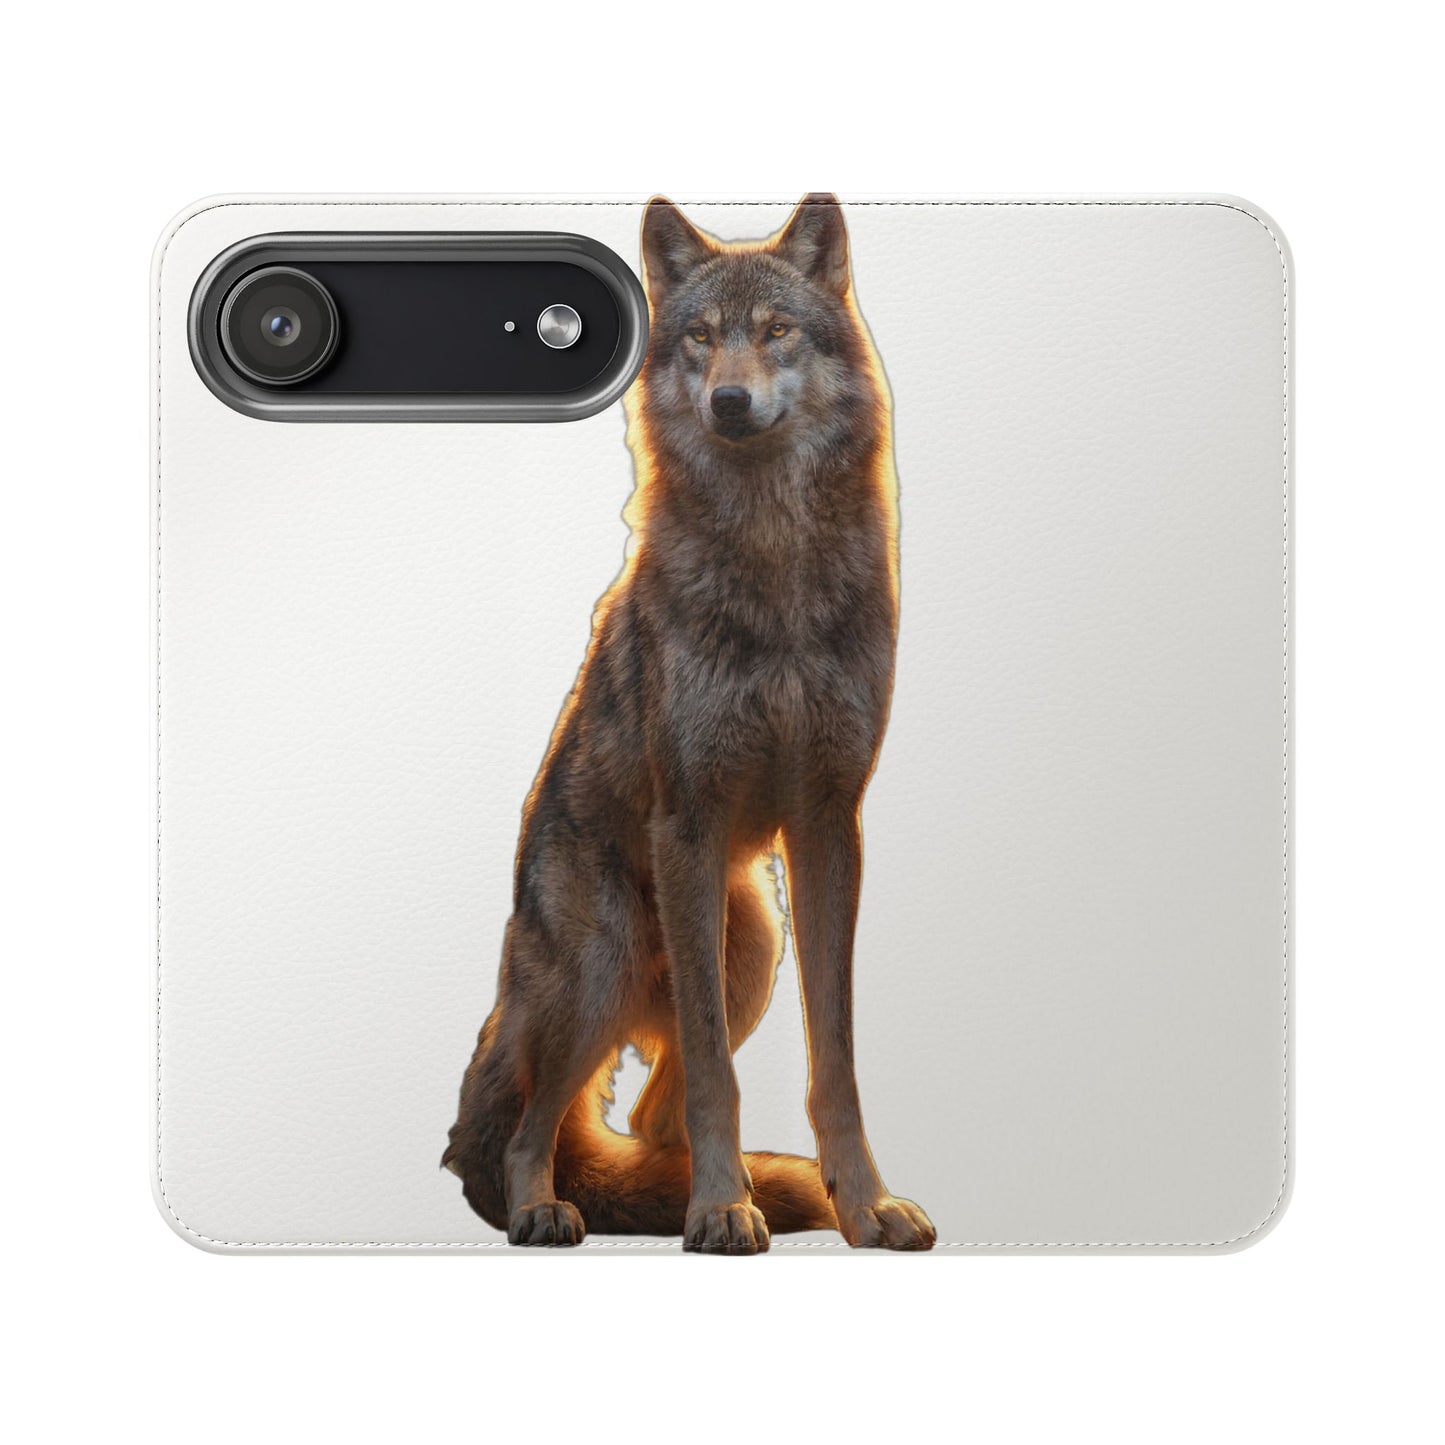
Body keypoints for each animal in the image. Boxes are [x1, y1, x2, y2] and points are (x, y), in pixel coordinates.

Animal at [443, 194, 934, 1252]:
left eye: (776, 331)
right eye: (701, 338)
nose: (729, 403)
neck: (774, 560)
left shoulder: (829, 821)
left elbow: (833, 1061)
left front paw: (863, 1205)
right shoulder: (691, 821)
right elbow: (715, 1073)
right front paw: (718, 1209)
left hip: (749, 947)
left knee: (643, 1113)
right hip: (605, 965)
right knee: (530, 1124)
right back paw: (550, 1207)